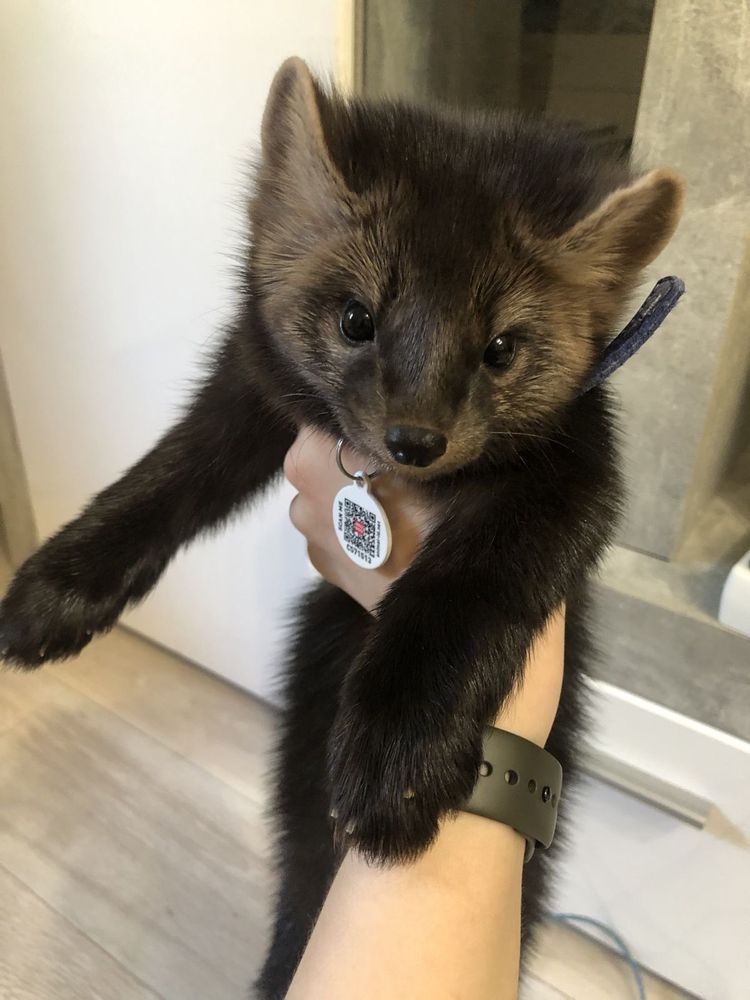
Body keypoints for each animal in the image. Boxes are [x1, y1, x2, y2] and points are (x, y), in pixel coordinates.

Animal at [0, 57, 683, 997]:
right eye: (356, 316)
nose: (416, 438)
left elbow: (472, 586)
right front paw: (52, 595)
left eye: (503, 346)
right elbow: (174, 468)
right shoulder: (255, 385)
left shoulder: (574, 478)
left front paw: (399, 758)